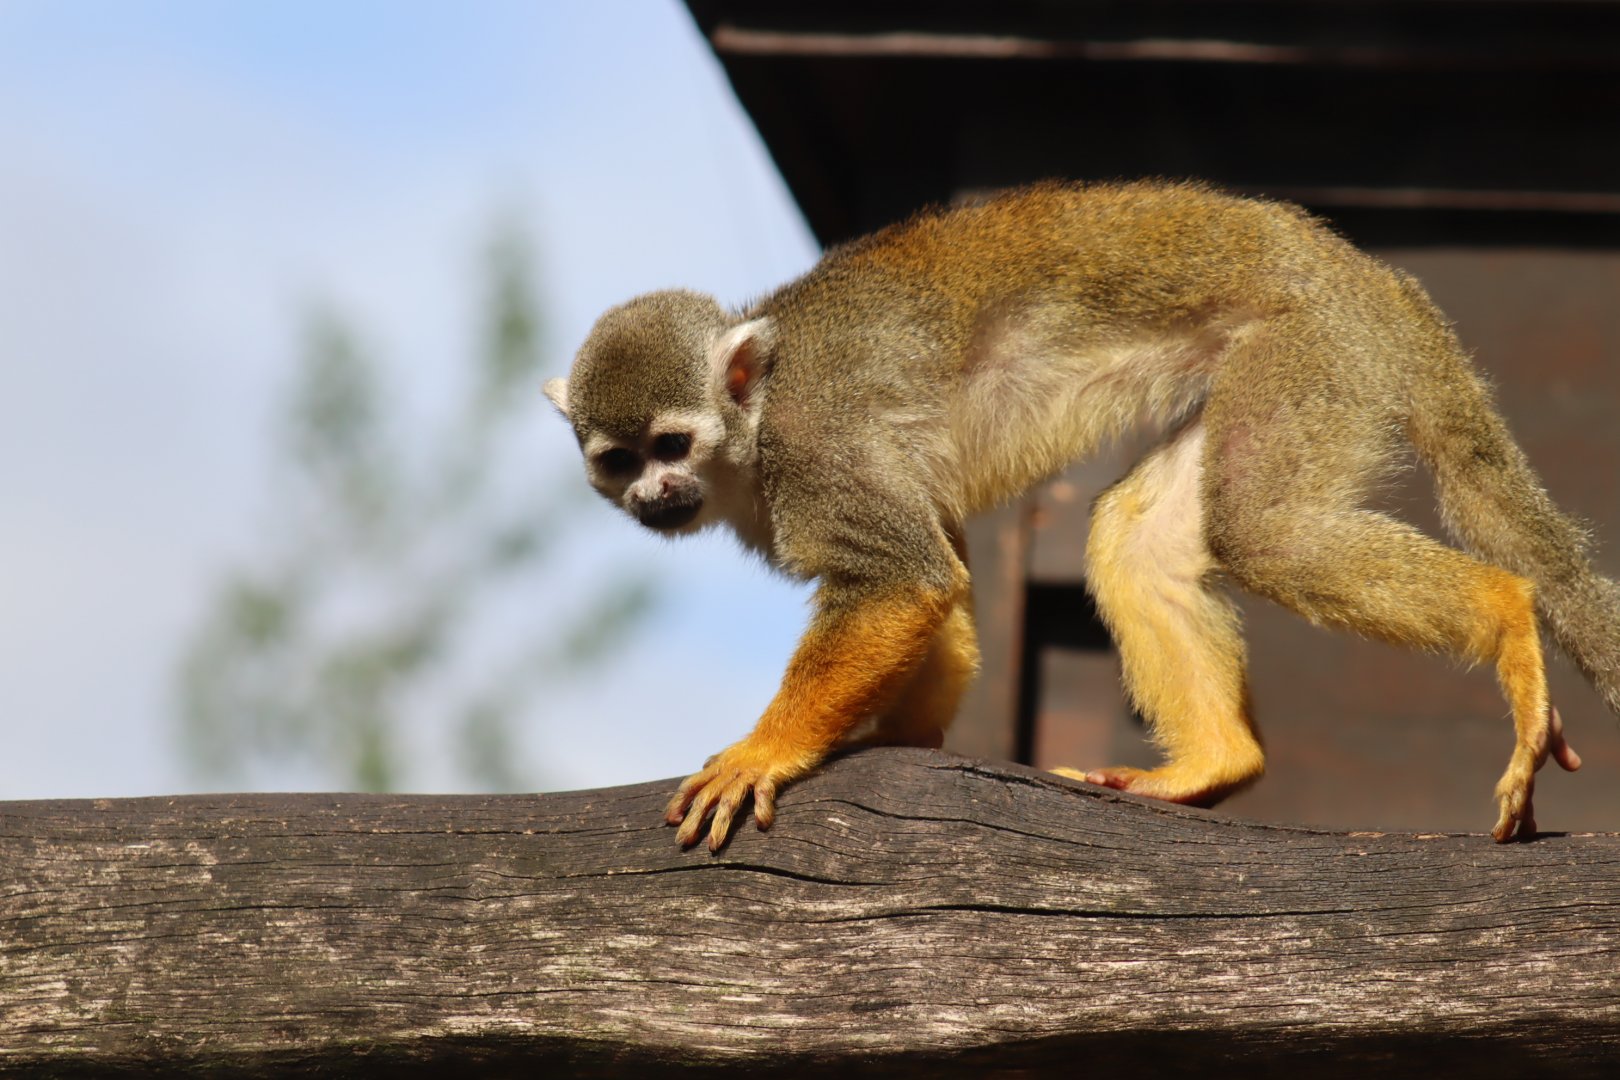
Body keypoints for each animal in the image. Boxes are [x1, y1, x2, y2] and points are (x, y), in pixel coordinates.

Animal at [546, 180, 1618, 851]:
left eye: (672, 445)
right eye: (618, 460)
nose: (653, 495)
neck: (755, 424)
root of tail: (1370, 274)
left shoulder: (818, 452)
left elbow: (902, 583)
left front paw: (766, 750)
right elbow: (942, 587)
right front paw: (899, 740)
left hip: (1314, 349)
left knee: (1264, 531)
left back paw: (1506, 612)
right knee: (1138, 538)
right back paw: (1213, 764)